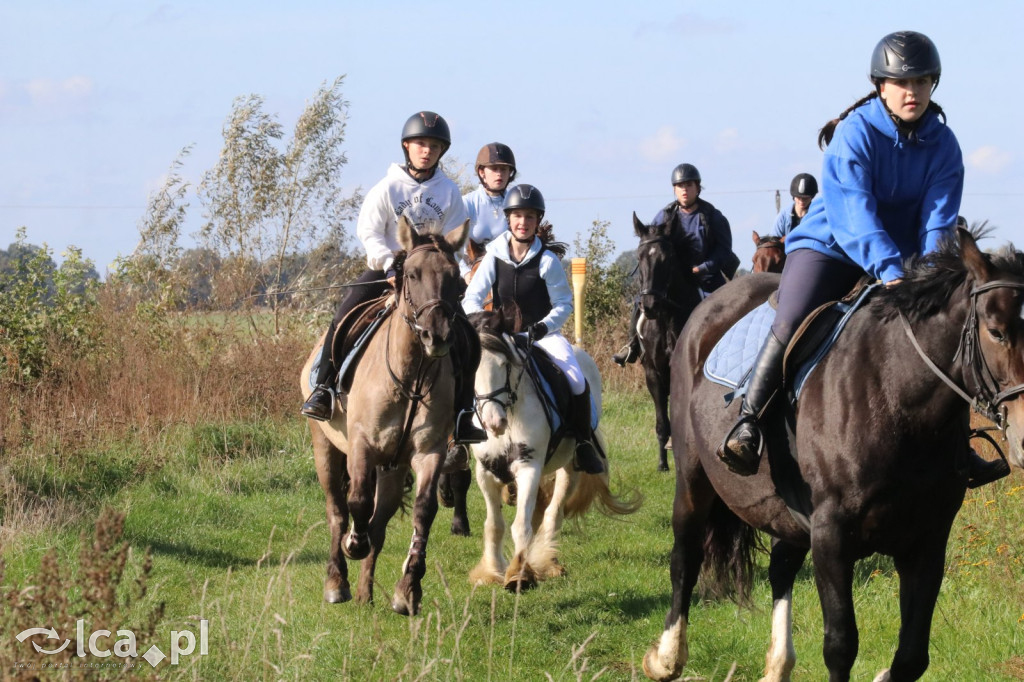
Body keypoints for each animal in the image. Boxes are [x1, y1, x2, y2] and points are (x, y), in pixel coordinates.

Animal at [299, 215, 468, 614]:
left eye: (456, 277)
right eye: (412, 274)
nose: (437, 335)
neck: (410, 376)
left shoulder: (428, 452)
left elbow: (423, 510)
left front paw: (408, 588)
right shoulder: (362, 445)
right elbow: (357, 501)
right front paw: (353, 543)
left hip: (393, 468)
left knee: (378, 524)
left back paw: (364, 592)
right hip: (325, 448)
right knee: (337, 510)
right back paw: (337, 581)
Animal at [468, 309, 638, 589]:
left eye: (503, 365)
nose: (494, 423)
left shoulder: (529, 467)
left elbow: (521, 525)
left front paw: (519, 574)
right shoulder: (486, 472)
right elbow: (494, 525)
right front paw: (490, 571)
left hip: (571, 466)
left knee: (552, 513)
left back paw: (547, 562)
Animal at [630, 212, 704, 466]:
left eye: (668, 258)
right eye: (639, 257)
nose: (650, 305)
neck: (667, 321)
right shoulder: (653, 373)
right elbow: (662, 422)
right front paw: (662, 462)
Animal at [638, 225, 1024, 675]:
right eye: (996, 331)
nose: (1023, 437)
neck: (896, 397)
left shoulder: (927, 540)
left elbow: (911, 656)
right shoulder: (831, 536)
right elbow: (840, 646)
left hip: (785, 508)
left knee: (781, 567)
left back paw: (777, 666)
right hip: (693, 478)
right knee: (686, 557)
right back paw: (667, 658)